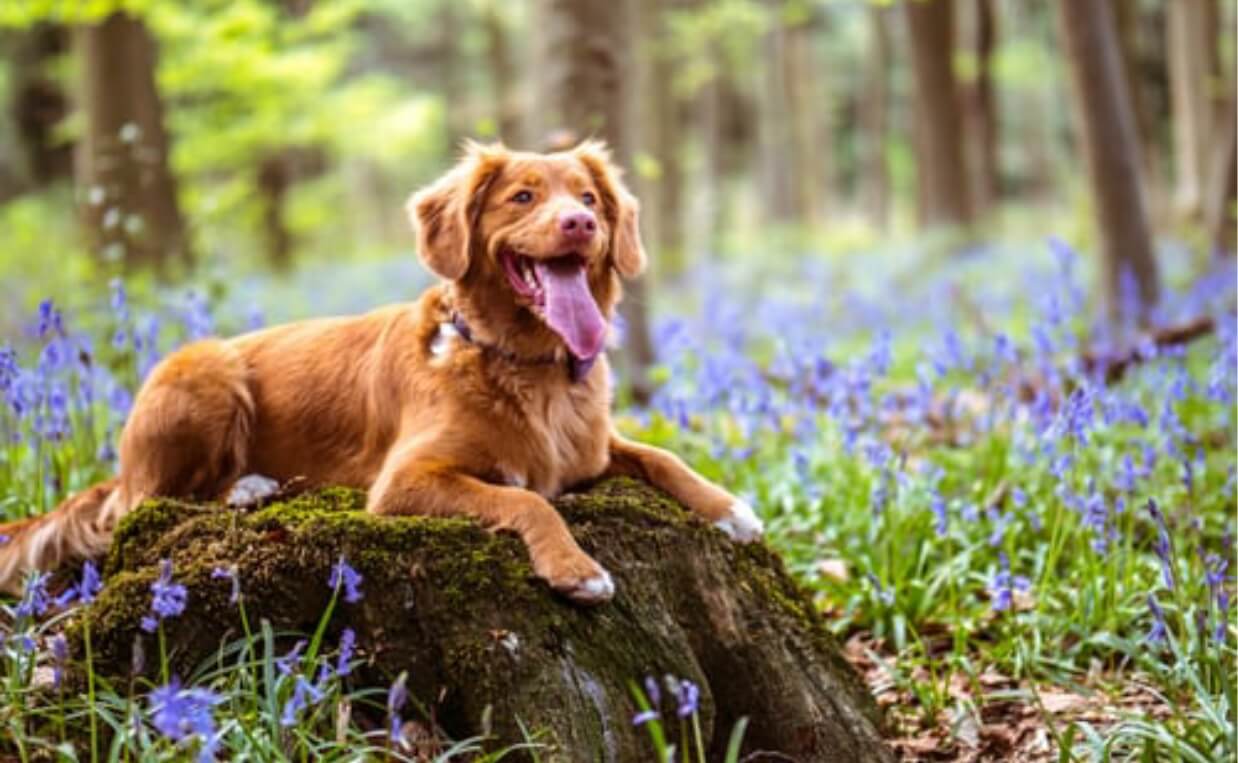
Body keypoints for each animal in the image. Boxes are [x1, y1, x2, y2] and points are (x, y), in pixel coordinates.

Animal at [0, 143, 762, 604]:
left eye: (590, 198)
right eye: (522, 197)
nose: (580, 223)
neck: (525, 365)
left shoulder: (594, 449)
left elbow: (662, 456)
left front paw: (731, 509)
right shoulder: (405, 481)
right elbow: (528, 501)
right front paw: (576, 568)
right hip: (204, 369)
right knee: (147, 502)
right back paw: (246, 486)